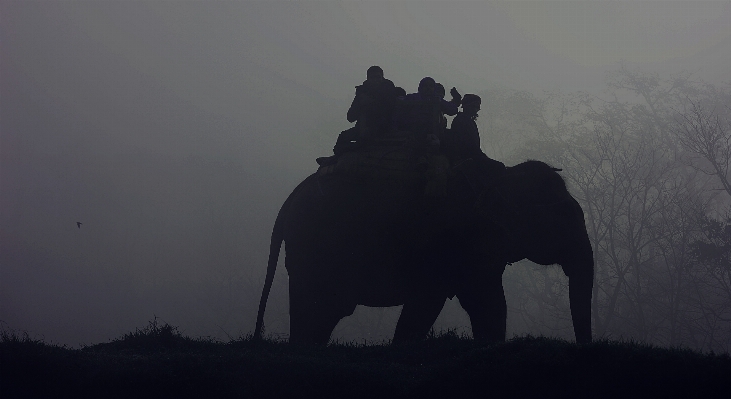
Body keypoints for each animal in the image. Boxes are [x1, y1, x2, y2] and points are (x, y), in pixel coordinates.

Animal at [254, 153, 592, 344]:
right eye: (562, 218)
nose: (583, 347)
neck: (504, 176)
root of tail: (289, 201)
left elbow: (483, 303)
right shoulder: (452, 243)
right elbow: (448, 302)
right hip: (315, 248)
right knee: (316, 308)